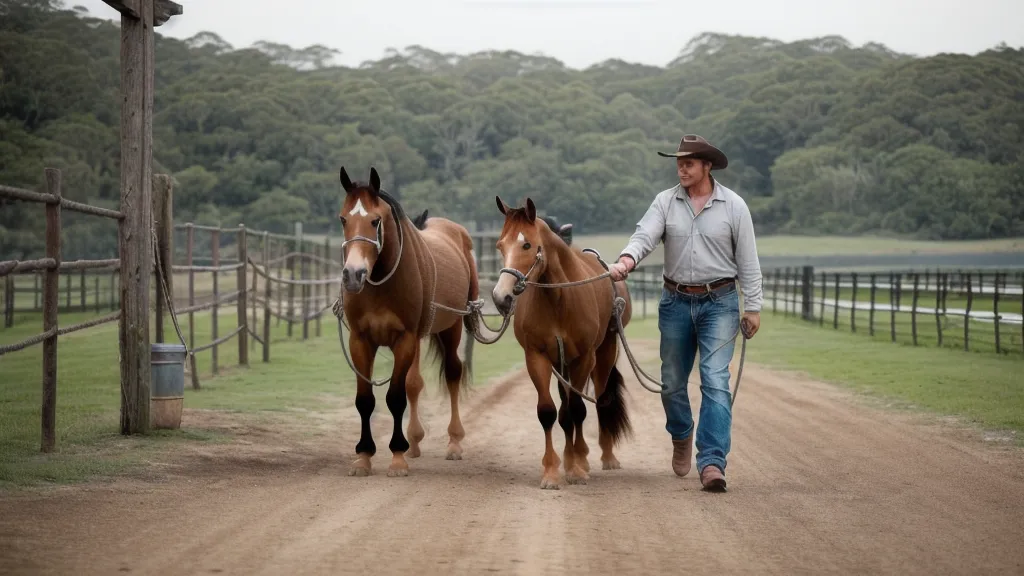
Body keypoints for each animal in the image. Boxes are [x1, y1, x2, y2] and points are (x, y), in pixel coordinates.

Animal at [337, 166, 480, 477]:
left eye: (375, 220)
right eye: (343, 219)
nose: (353, 274)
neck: (381, 283)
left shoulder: (405, 339)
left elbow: (395, 397)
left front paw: (397, 457)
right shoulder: (361, 341)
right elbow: (366, 400)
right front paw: (364, 457)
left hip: (450, 329)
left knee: (452, 374)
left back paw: (454, 442)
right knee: (415, 383)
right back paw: (415, 442)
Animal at [491, 196, 634, 489]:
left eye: (527, 244)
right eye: (500, 245)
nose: (501, 297)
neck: (558, 300)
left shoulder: (584, 358)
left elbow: (578, 410)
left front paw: (577, 469)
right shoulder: (537, 358)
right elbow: (549, 412)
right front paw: (552, 471)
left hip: (602, 357)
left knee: (600, 400)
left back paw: (604, 457)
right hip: (562, 365)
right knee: (566, 410)